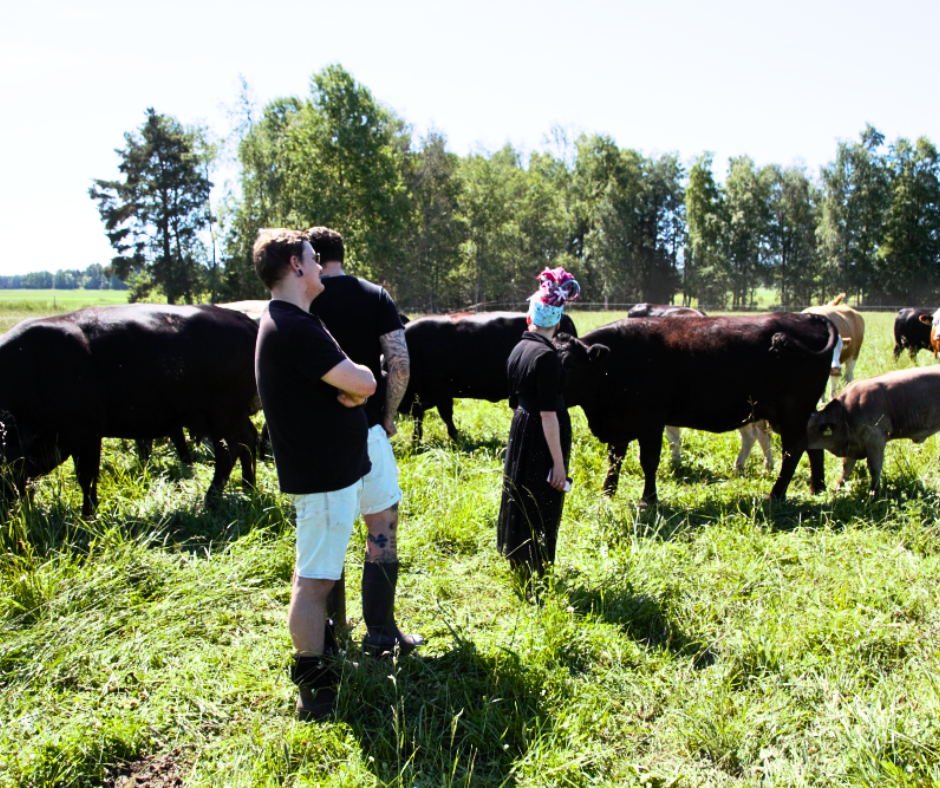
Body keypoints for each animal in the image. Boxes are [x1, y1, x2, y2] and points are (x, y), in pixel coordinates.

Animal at [0, 304, 258, 516]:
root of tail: (241, 318)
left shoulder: (85, 431)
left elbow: (86, 477)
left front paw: (87, 516)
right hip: (232, 416)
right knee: (248, 441)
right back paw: (248, 486)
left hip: (223, 414)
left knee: (229, 453)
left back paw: (210, 500)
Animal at [556, 312, 840, 502]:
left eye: (570, 364)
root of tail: (808, 317)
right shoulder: (620, 422)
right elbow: (615, 459)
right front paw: (607, 492)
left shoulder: (650, 422)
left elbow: (648, 461)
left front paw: (648, 499)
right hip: (794, 413)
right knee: (810, 444)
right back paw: (817, 487)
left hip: (792, 410)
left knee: (793, 449)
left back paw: (776, 494)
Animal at [804, 368, 940, 492]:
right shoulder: (853, 445)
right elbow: (846, 467)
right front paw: (838, 489)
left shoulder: (876, 440)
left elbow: (874, 468)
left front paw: (874, 493)